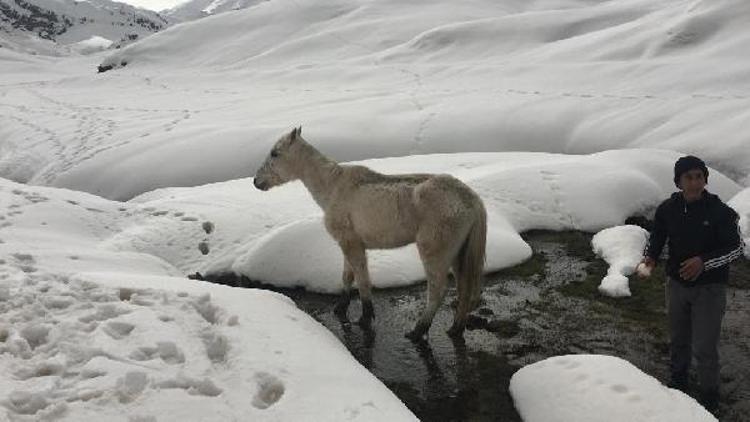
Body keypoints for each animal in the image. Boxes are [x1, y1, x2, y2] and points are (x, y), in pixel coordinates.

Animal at [254, 127, 488, 338]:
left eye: (275, 153)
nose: (256, 182)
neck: (333, 187)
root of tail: (471, 199)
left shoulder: (351, 245)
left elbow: (362, 279)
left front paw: (365, 318)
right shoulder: (349, 243)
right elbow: (347, 276)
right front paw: (340, 308)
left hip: (435, 253)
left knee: (437, 291)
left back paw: (418, 331)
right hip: (458, 255)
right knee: (464, 288)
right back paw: (455, 328)